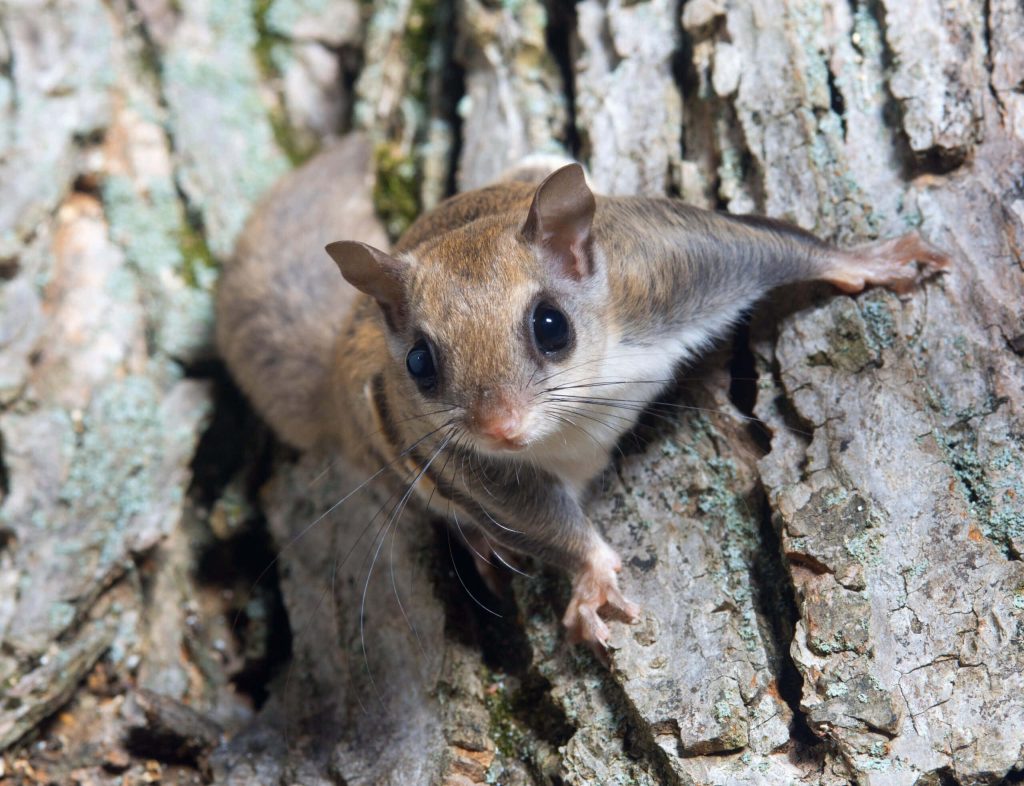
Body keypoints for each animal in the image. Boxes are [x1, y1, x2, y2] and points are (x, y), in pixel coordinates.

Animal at [216, 133, 951, 648]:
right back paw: (479, 544)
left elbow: (771, 245)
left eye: (551, 326)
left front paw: (869, 261)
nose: (502, 428)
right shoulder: (458, 458)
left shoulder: (665, 268)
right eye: (420, 363)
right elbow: (536, 517)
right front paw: (592, 576)